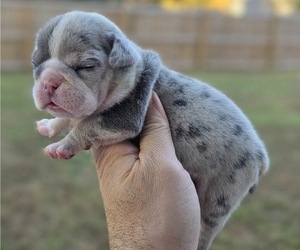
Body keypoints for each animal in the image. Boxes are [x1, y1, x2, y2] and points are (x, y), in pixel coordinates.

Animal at [32, 11, 270, 250]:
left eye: (86, 67)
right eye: (35, 63)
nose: (49, 82)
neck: (131, 74)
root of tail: (261, 156)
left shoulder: (125, 117)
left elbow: (87, 126)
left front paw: (61, 146)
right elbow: (68, 118)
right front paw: (49, 125)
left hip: (222, 194)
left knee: (207, 228)